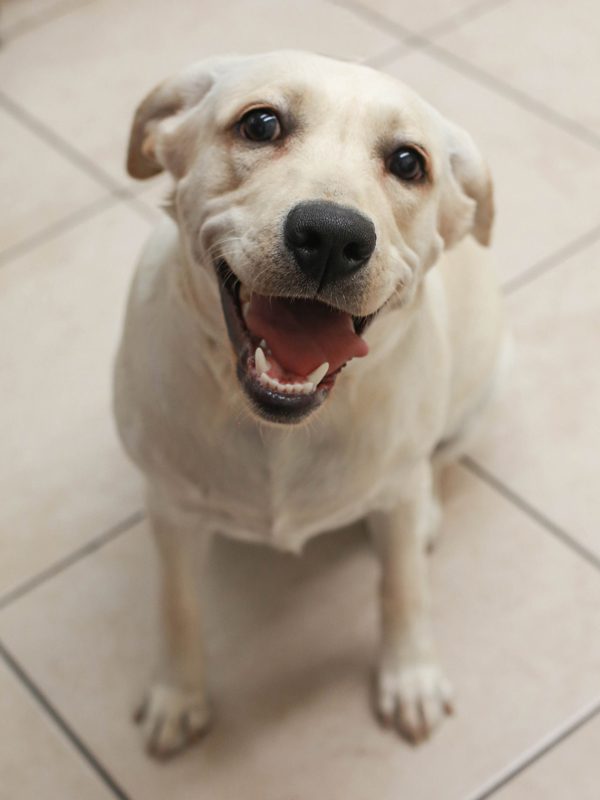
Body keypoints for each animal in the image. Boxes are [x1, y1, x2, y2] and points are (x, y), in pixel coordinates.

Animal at [113, 50, 506, 756]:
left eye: (409, 162)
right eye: (260, 123)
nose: (330, 235)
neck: (280, 430)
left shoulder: (397, 499)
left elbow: (403, 589)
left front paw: (410, 674)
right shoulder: (171, 509)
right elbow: (176, 605)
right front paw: (177, 694)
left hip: (482, 392)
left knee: (431, 468)